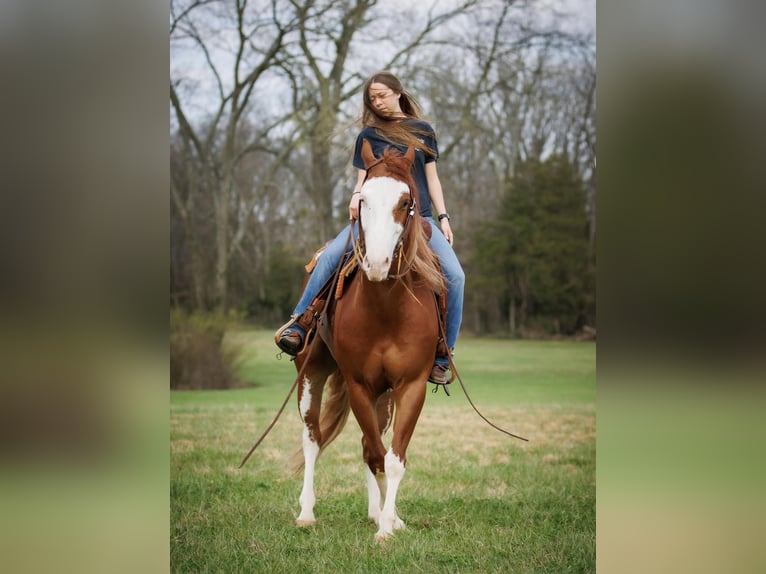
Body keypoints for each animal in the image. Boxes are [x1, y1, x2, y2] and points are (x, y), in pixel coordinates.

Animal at [292, 140, 444, 544]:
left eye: (406, 201)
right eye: (363, 200)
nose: (376, 263)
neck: (386, 307)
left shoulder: (410, 386)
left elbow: (393, 459)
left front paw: (388, 524)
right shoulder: (359, 384)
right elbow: (376, 454)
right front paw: (384, 523)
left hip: (383, 394)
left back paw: (381, 513)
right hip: (311, 373)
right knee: (313, 438)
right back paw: (307, 512)